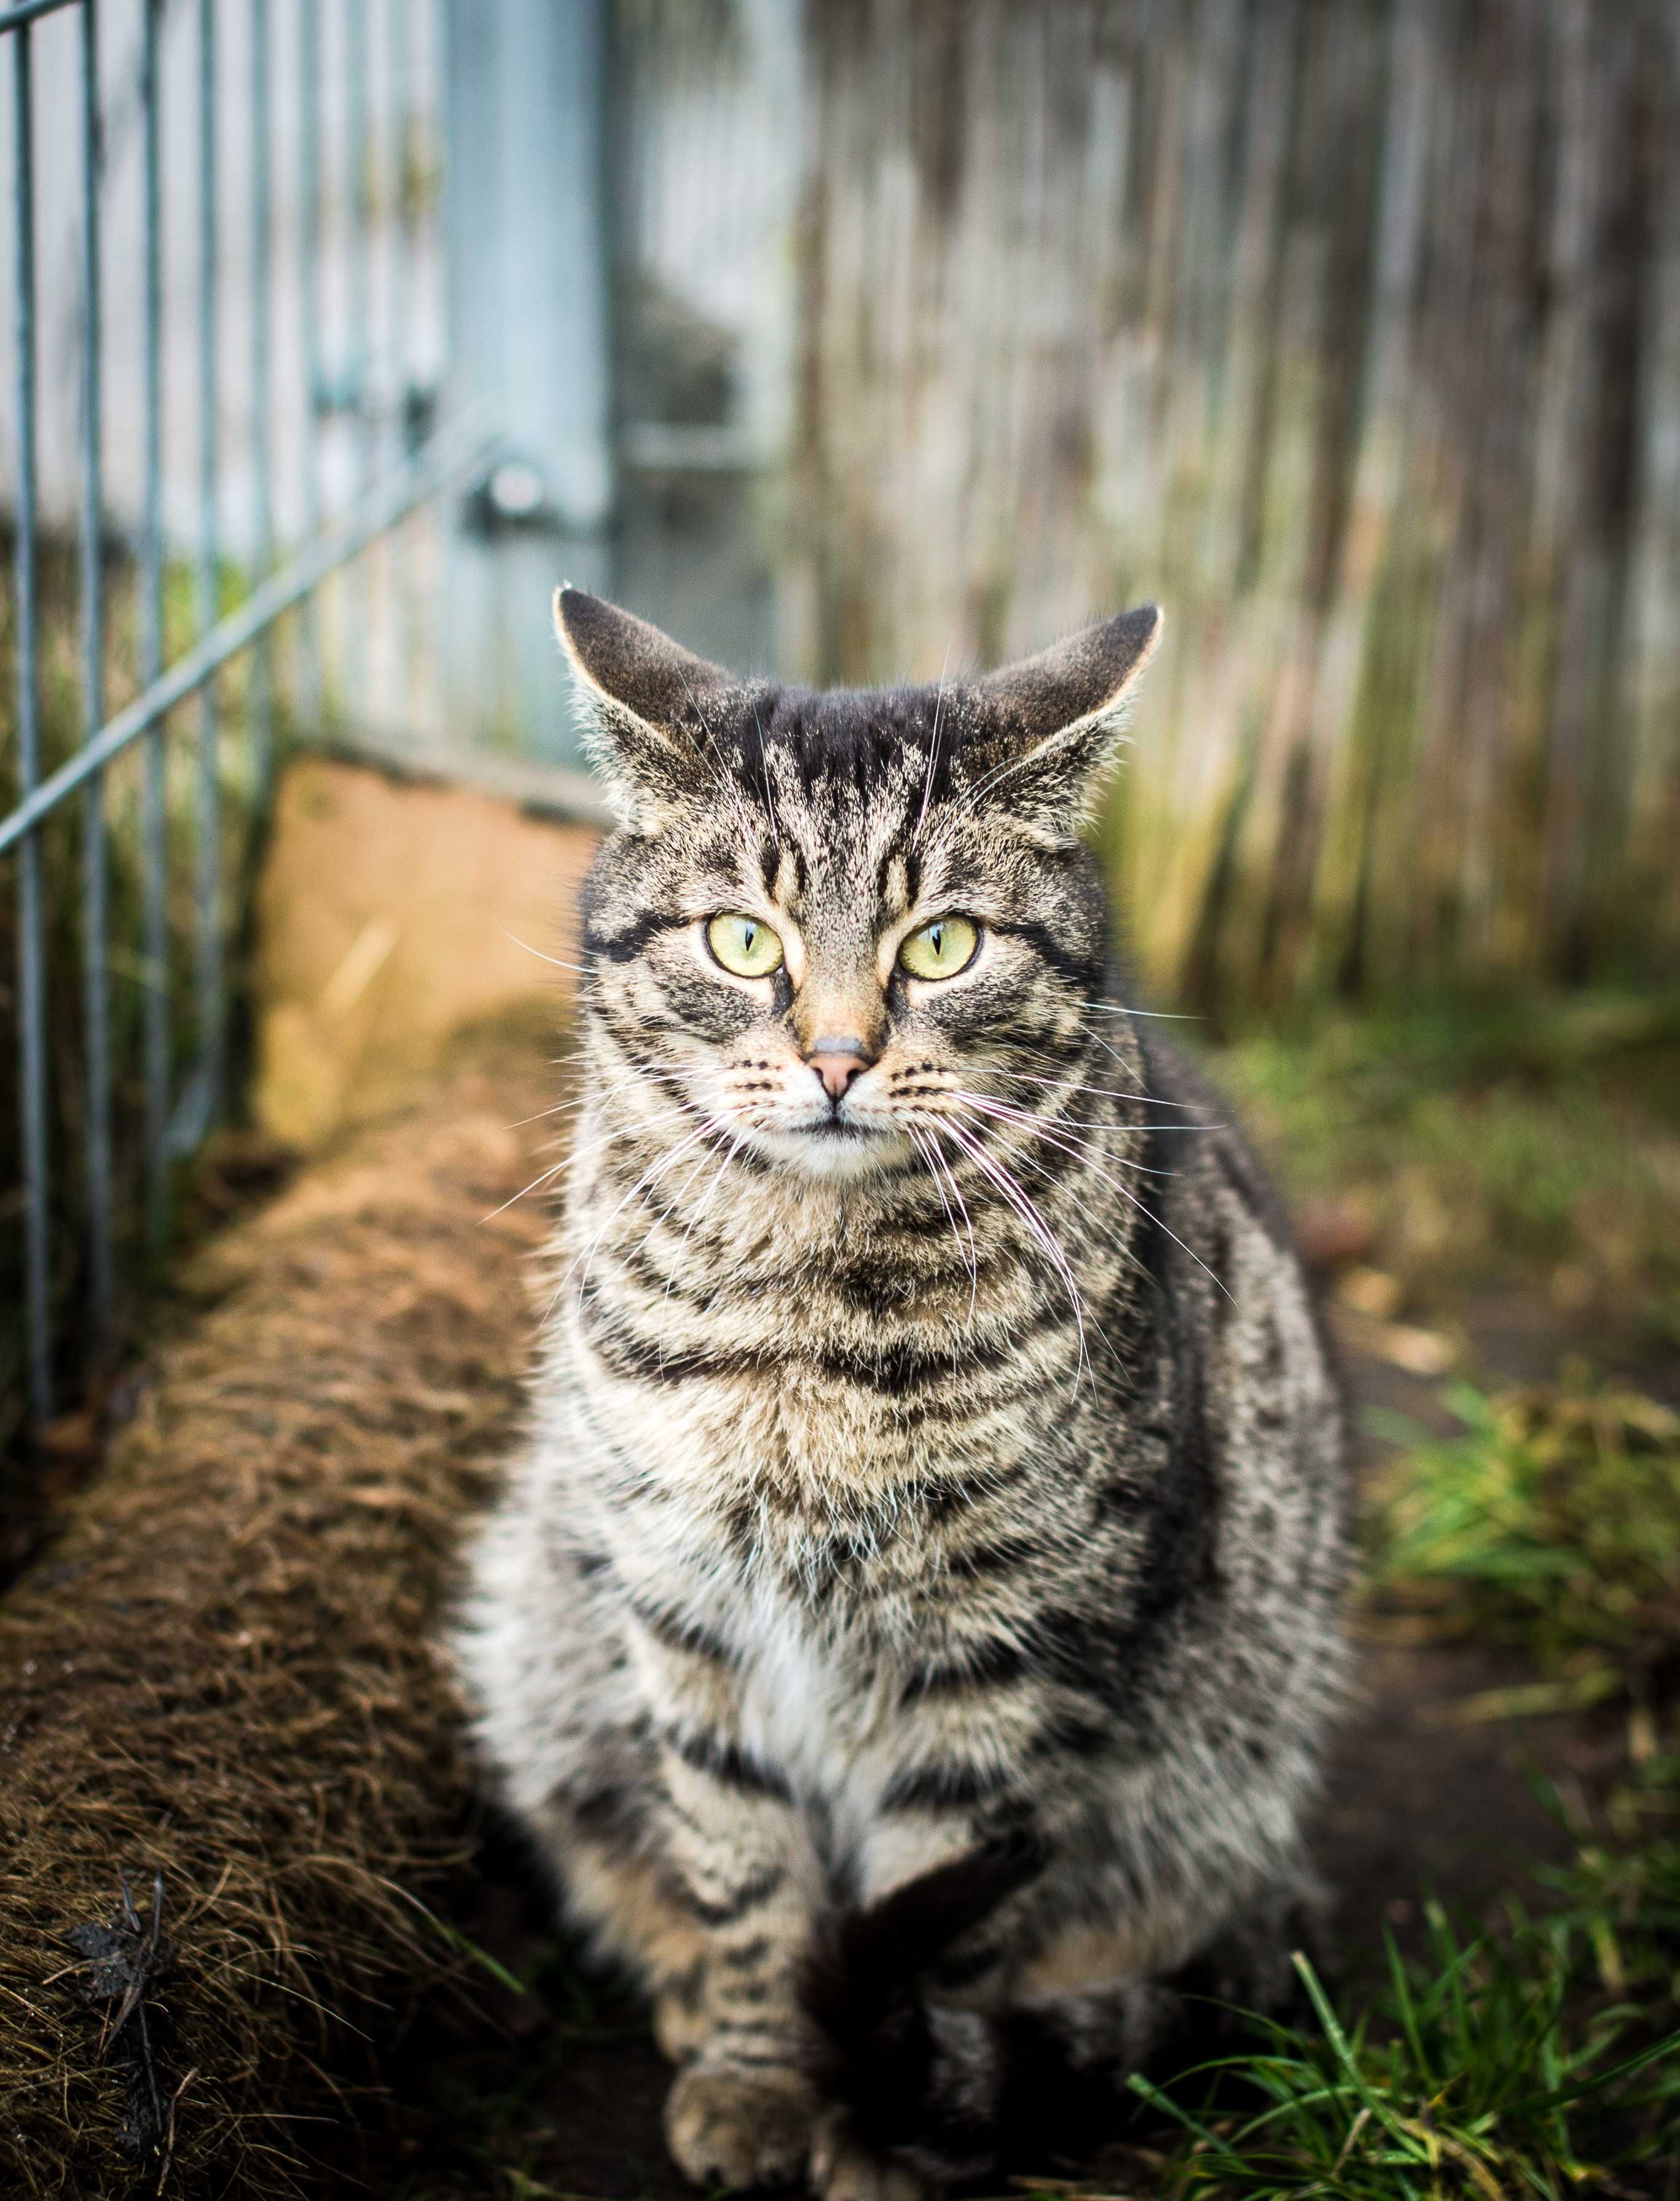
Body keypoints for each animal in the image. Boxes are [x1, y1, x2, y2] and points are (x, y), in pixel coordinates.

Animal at [460, 589, 1356, 2201]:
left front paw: (874, 2127)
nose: (834, 1056)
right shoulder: (685, 1606)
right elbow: (739, 1860)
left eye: (938, 945)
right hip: (540, 1635)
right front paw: (757, 2076)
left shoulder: (1003, 1642)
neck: (803, 1322)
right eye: (739, 939)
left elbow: (935, 1894)